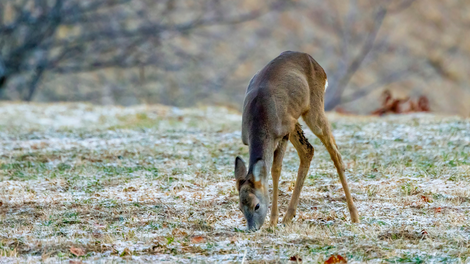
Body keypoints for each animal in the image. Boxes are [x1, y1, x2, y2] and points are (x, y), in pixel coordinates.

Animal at [235, 50, 360, 230]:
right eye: (240, 207)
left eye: (256, 205)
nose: (252, 228)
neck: (260, 120)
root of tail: (317, 65)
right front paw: (276, 220)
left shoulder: (282, 133)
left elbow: (275, 169)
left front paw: (273, 221)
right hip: (295, 119)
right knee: (308, 150)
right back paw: (289, 216)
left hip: (313, 110)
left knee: (335, 152)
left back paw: (354, 216)